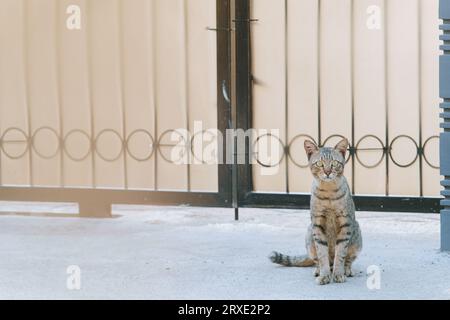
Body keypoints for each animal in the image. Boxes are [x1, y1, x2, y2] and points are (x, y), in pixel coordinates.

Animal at [270, 138, 362, 284]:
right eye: (319, 163)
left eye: (334, 163)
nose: (328, 172)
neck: (329, 192)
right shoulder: (318, 225)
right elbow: (322, 254)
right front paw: (324, 275)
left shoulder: (345, 224)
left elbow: (340, 254)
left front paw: (338, 274)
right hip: (309, 234)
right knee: (317, 261)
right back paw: (319, 270)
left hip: (357, 235)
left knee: (348, 260)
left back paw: (346, 270)